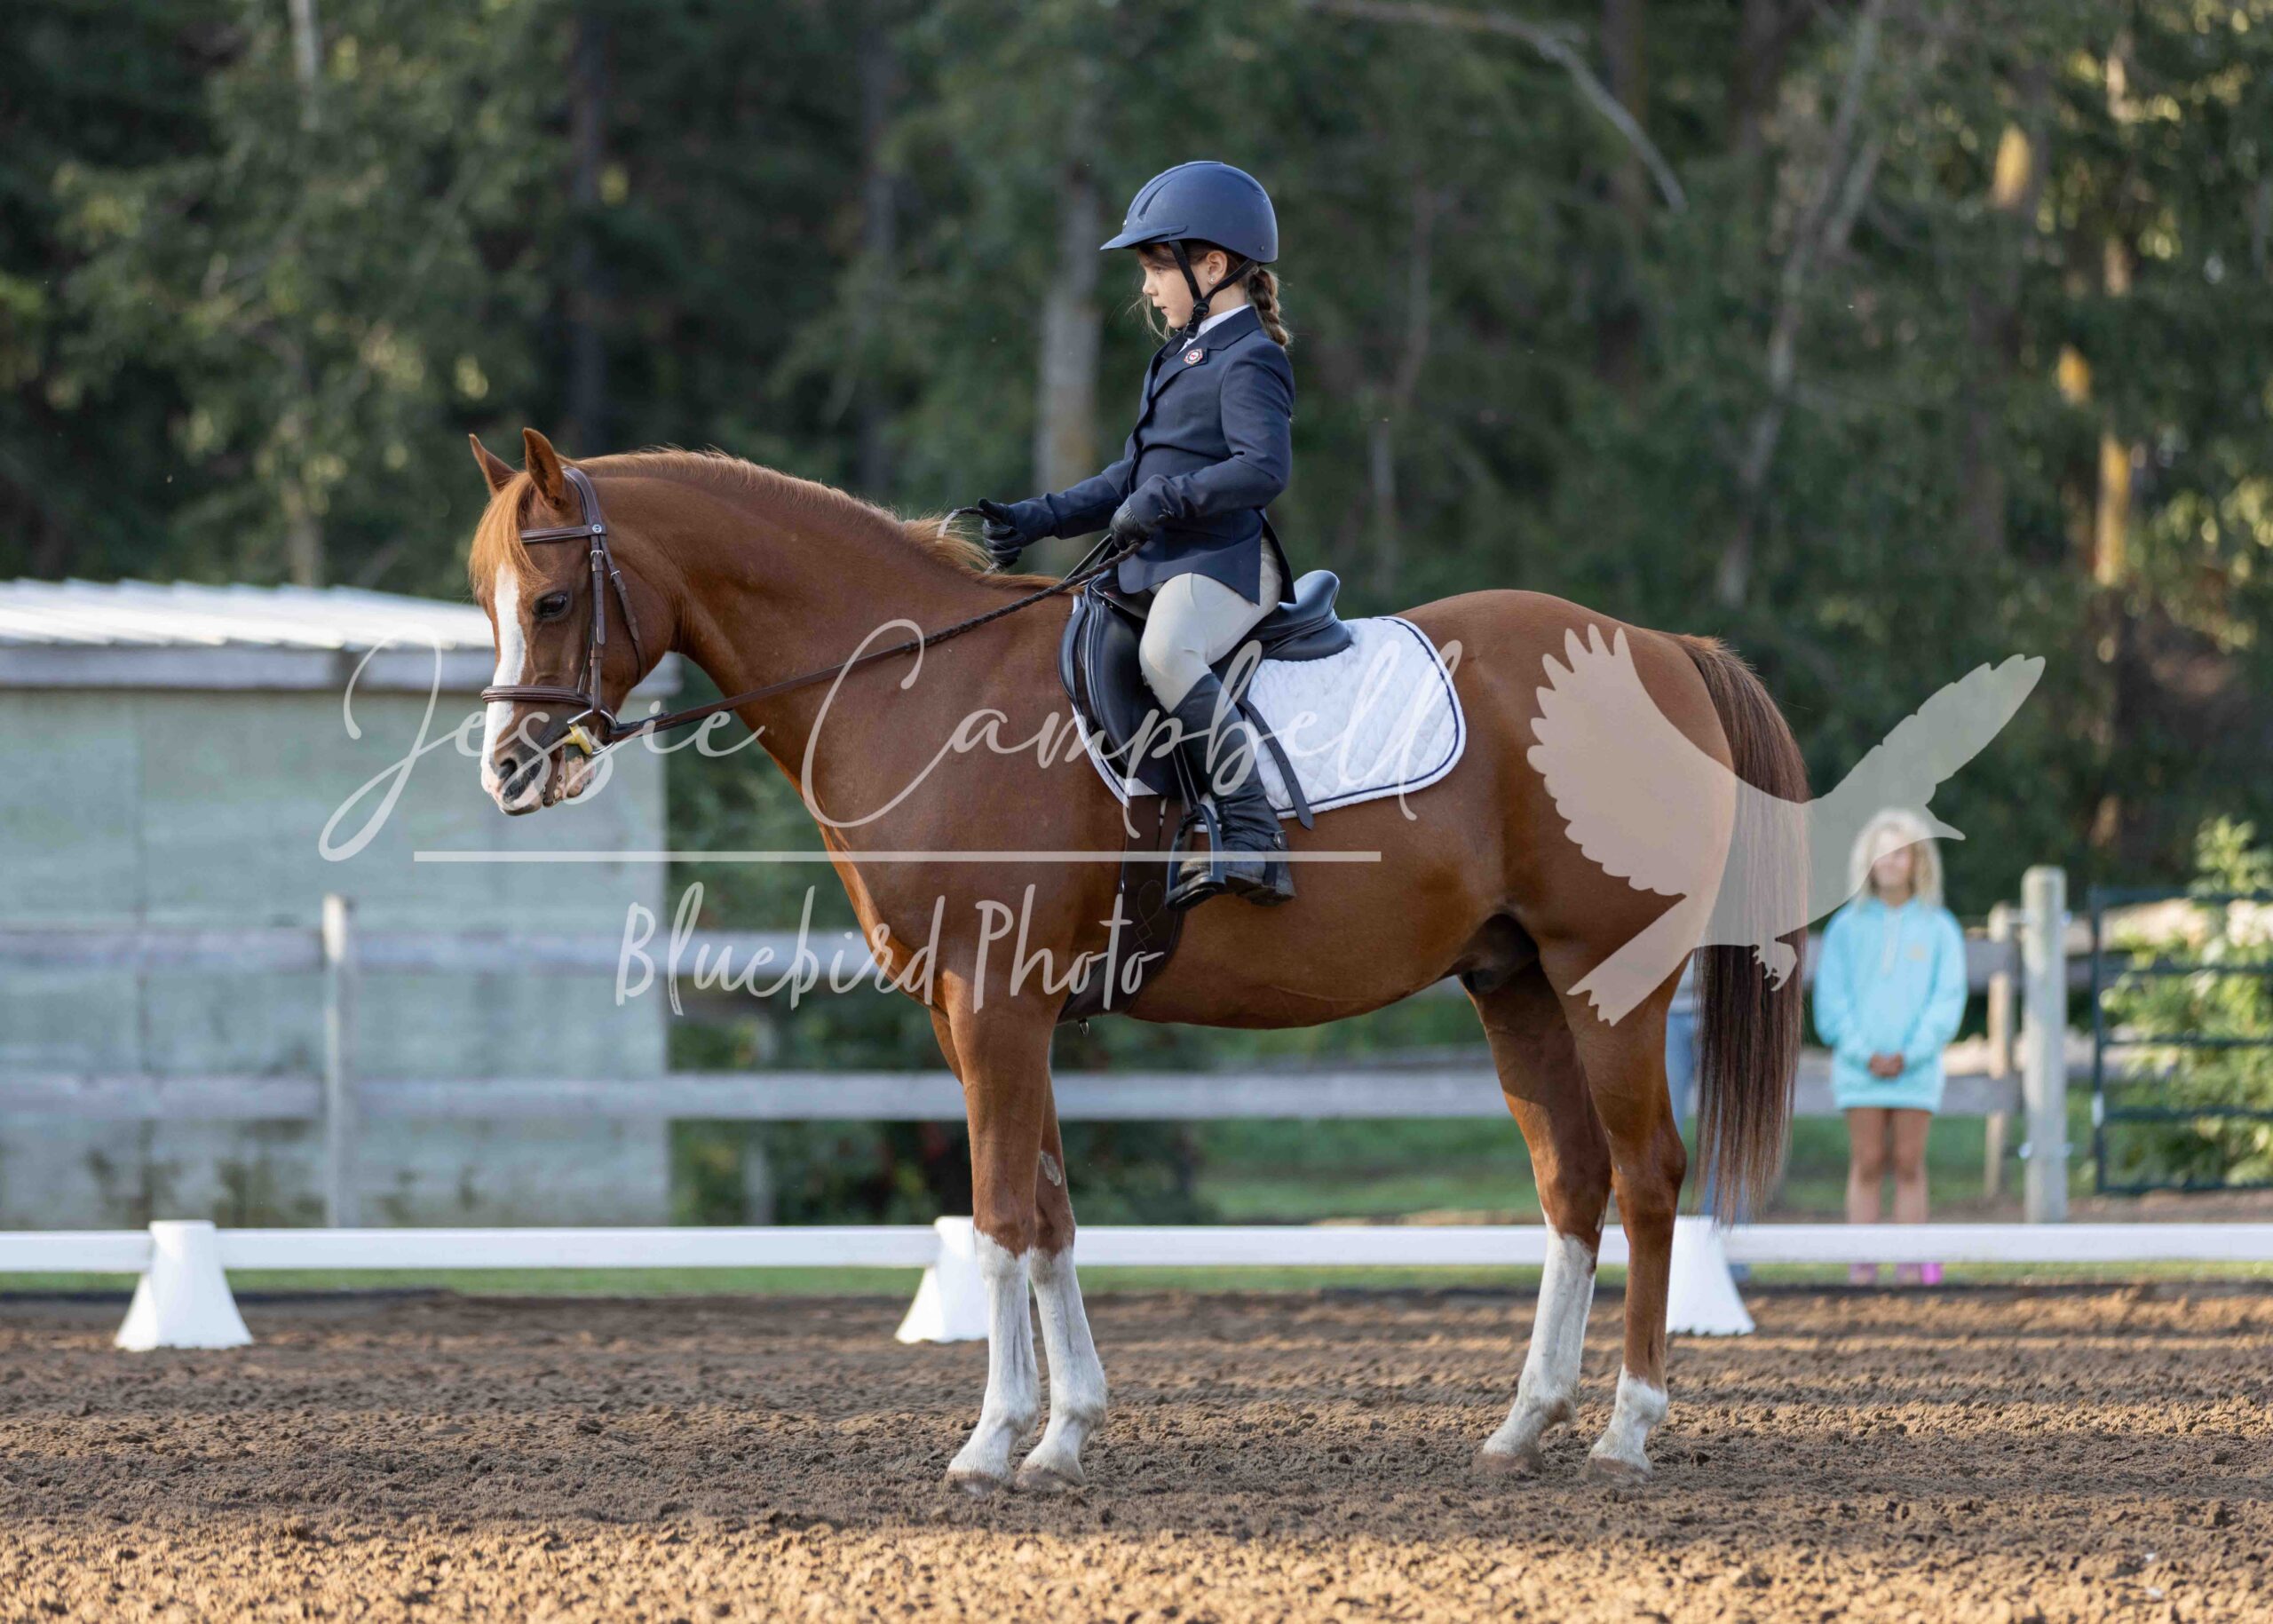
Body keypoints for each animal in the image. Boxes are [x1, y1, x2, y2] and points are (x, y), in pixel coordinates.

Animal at [465, 427, 1805, 1492]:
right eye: (490, 602)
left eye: (550, 603)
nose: (511, 771)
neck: (918, 690)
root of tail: (1655, 645)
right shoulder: (983, 1016)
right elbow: (1051, 1213)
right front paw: (1064, 1437)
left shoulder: (995, 1006)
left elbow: (1002, 1212)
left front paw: (991, 1441)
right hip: (1513, 982)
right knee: (1570, 1181)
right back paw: (1523, 1427)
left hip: (1608, 978)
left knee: (1647, 1175)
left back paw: (1626, 1431)